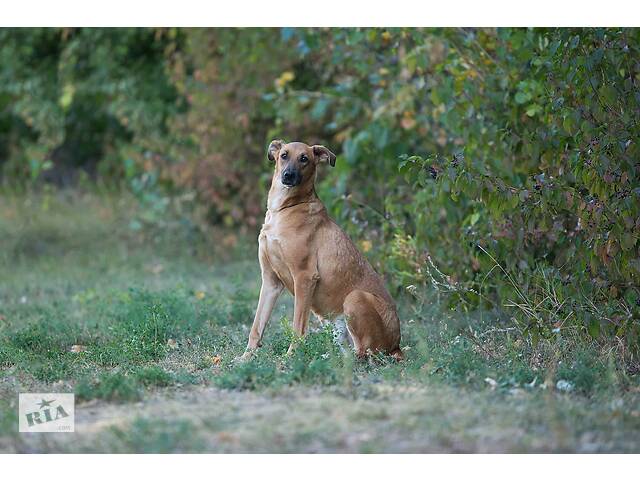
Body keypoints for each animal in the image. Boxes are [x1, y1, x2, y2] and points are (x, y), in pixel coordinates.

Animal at [238, 139, 402, 360]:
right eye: (284, 155)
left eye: (304, 159)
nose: (288, 176)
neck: (285, 209)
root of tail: (396, 345)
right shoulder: (270, 281)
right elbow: (257, 326)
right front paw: (245, 358)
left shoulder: (304, 277)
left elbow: (298, 328)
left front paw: (290, 358)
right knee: (349, 353)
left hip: (355, 297)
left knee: (364, 353)